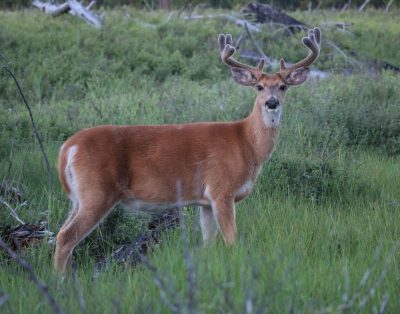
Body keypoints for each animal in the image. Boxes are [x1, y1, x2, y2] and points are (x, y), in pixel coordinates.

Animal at [54, 27, 322, 272]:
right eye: (259, 86)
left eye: (283, 86)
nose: (272, 102)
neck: (247, 144)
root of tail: (68, 146)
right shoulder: (221, 190)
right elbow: (232, 241)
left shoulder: (204, 201)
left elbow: (208, 243)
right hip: (97, 192)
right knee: (66, 237)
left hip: (78, 197)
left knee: (62, 233)